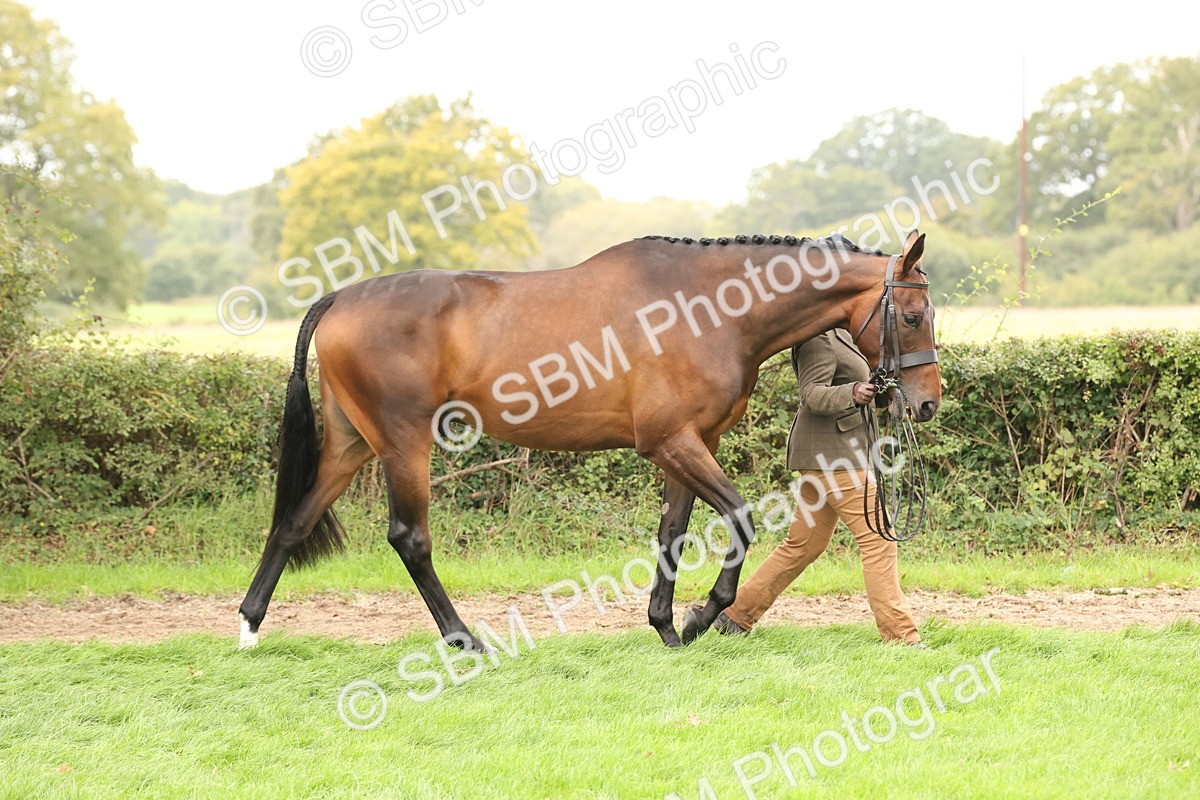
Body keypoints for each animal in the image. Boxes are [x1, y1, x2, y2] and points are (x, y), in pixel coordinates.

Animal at [237, 230, 941, 650]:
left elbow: (672, 532)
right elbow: (738, 518)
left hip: (353, 443)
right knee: (409, 538)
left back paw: (248, 626)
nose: (926, 403)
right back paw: (464, 639)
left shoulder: (688, 444)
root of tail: (341, 297)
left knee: (295, 519)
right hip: (404, 444)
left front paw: (666, 627)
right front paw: (700, 616)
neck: (705, 308)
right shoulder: (672, 442)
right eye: (911, 316)